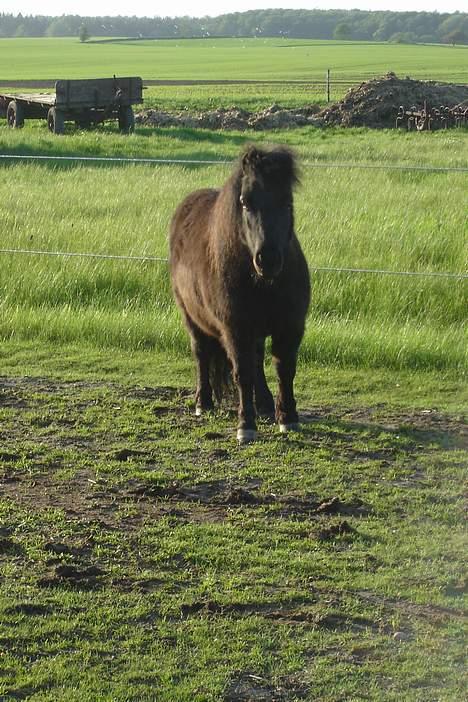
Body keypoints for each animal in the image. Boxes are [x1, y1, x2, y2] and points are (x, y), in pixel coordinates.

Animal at [169, 144, 310, 446]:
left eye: (287, 202)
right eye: (245, 202)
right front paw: (246, 425)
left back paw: (265, 404)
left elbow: (284, 368)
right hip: (191, 318)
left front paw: (287, 417)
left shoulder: (290, 326)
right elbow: (242, 373)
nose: (268, 259)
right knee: (201, 354)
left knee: (257, 360)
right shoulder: (236, 329)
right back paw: (203, 403)